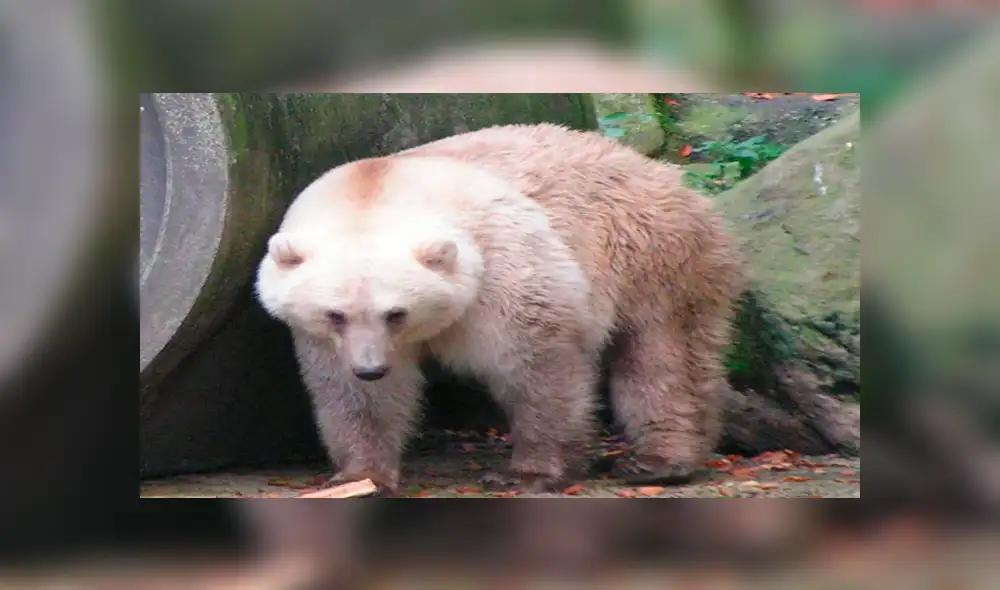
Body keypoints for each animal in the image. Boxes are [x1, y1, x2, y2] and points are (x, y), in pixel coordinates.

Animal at [256, 123, 742, 495]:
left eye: (396, 313)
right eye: (334, 314)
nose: (371, 368)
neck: (382, 191)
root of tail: (663, 172)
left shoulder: (501, 268)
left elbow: (537, 366)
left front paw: (531, 472)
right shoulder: (322, 337)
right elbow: (357, 397)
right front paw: (361, 476)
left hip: (651, 252)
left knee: (662, 356)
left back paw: (662, 459)